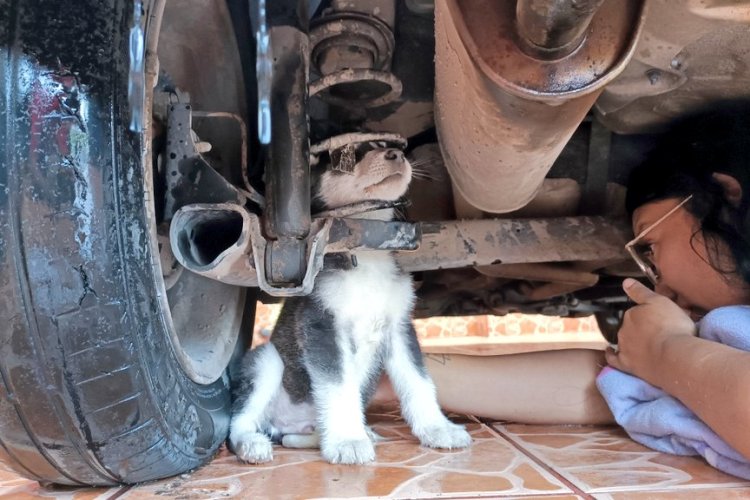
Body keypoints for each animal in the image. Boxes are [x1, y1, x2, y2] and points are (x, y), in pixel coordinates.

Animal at [232, 142, 472, 464]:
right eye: (347, 154)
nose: (397, 154)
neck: (366, 255)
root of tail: (291, 426)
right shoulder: (322, 328)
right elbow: (338, 386)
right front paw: (347, 440)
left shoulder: (399, 329)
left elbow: (418, 382)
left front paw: (438, 429)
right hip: (267, 361)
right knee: (240, 421)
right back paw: (251, 444)